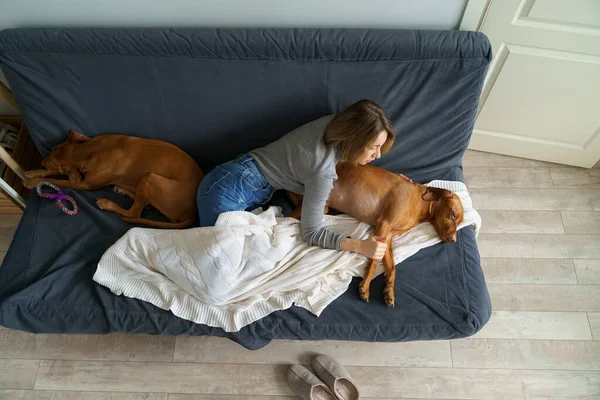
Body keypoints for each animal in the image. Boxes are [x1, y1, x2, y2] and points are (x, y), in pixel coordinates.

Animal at [23, 129, 204, 228]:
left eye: (53, 165)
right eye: (52, 149)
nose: (42, 161)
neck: (90, 151)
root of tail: (194, 211)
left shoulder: (84, 184)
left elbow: (58, 180)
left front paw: (32, 181)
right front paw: (33, 172)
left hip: (150, 178)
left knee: (134, 213)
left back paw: (108, 203)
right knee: (143, 205)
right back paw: (123, 191)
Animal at [288, 162, 466, 306]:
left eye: (459, 221)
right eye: (453, 214)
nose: (453, 240)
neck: (419, 204)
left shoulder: (388, 237)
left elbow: (392, 268)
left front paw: (389, 292)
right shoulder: (383, 225)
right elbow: (374, 261)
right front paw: (365, 287)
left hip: (322, 208)